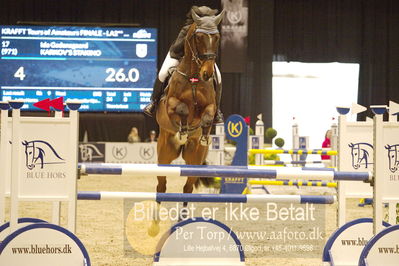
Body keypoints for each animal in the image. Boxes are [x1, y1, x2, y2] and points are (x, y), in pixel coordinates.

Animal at [149, 9, 227, 235]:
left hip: (194, 158)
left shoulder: (210, 106)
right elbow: (182, 108)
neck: (193, 77)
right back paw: (154, 225)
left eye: (217, 37)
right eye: (198, 37)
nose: (207, 73)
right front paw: (183, 129)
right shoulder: (169, 106)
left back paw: (182, 220)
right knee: (161, 186)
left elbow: (208, 115)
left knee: (187, 188)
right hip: (164, 154)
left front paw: (203, 133)